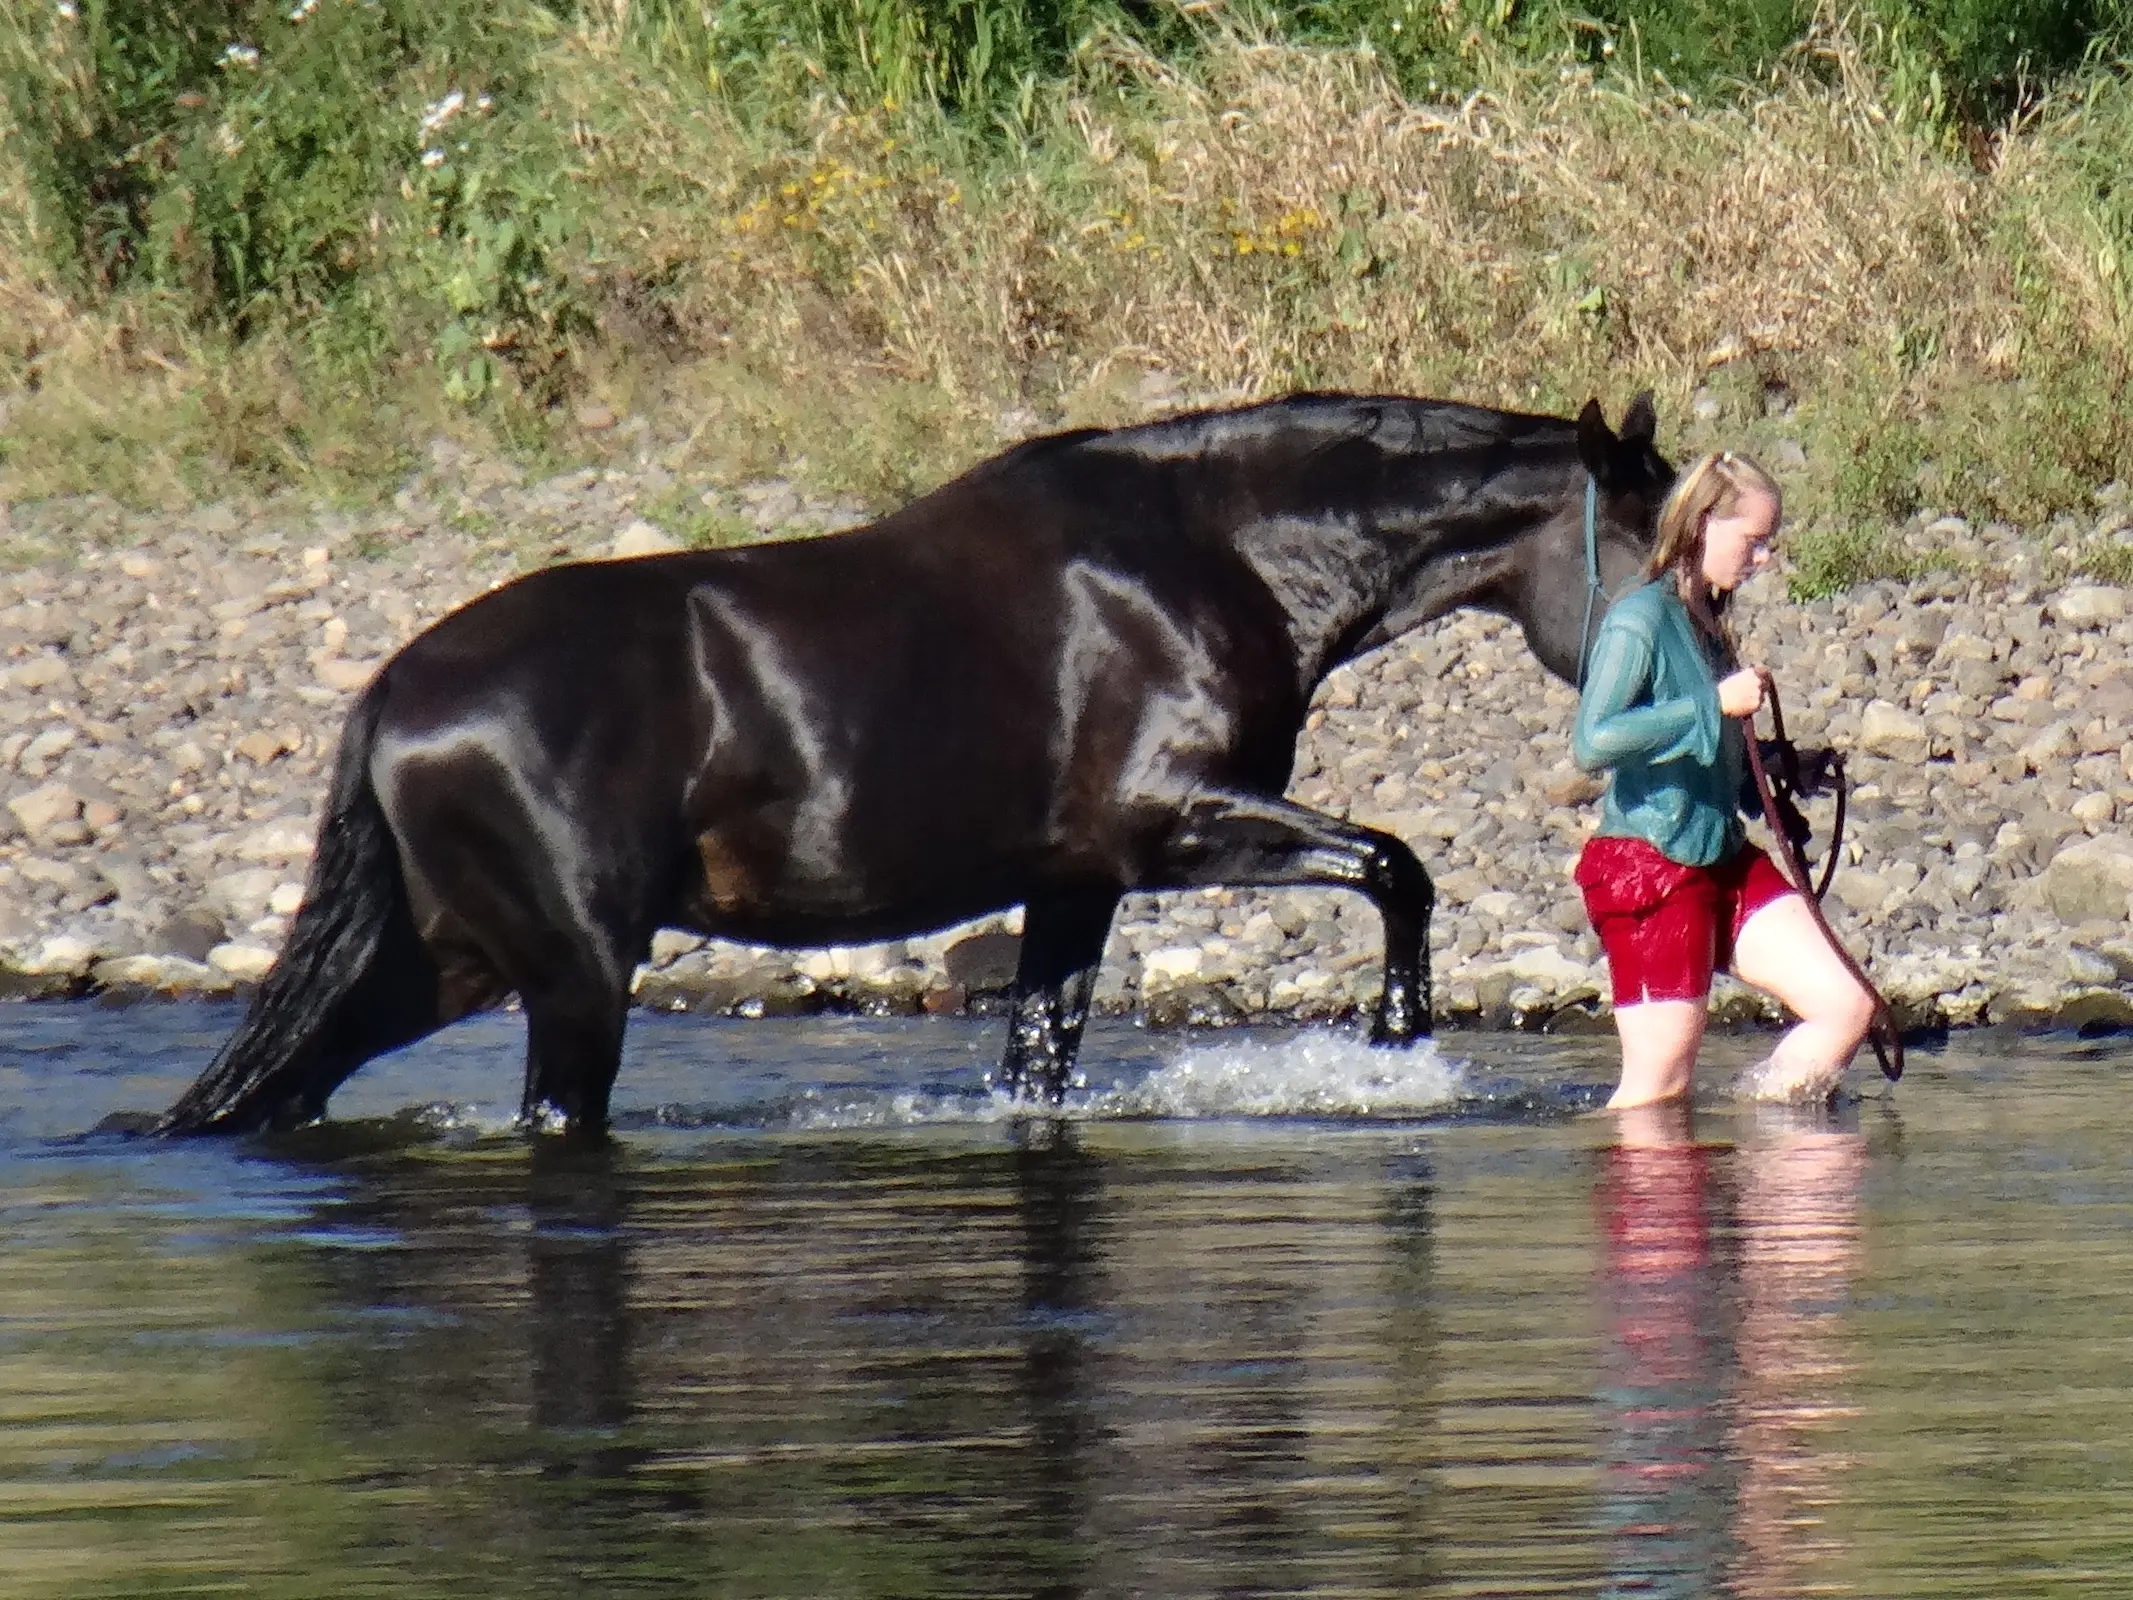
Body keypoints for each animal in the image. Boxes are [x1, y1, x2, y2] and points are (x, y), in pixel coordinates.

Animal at [157, 392, 1672, 1134]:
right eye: (1671, 559)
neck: (1213, 552)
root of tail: (391, 694)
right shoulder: (1170, 827)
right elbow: (1395, 864)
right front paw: (1396, 1043)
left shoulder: (1077, 883)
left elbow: (1040, 1058)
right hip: (572, 977)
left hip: (445, 963)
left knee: (279, 1089)